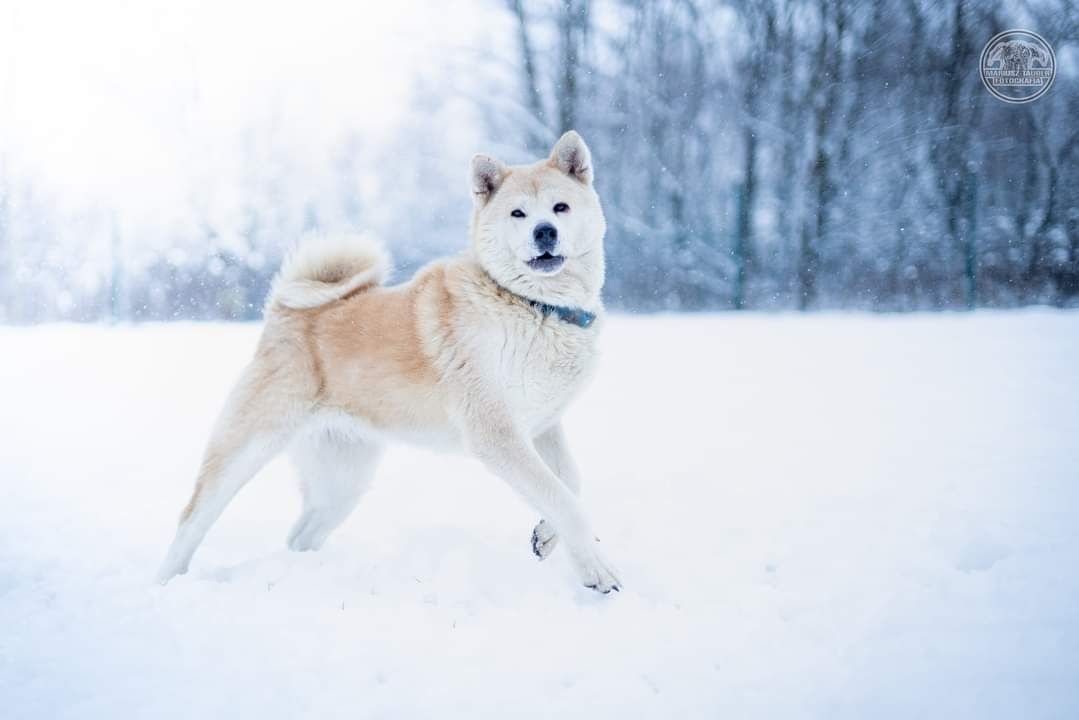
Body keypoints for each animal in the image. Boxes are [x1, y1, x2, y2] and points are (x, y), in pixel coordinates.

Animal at [156, 132, 621, 595]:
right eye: (517, 213)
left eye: (560, 207)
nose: (545, 231)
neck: (535, 307)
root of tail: (283, 311)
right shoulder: (496, 432)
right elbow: (563, 499)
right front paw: (597, 572)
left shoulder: (541, 424)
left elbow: (568, 483)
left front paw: (545, 536)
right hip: (245, 450)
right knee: (191, 520)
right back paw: (165, 582)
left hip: (343, 481)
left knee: (300, 535)